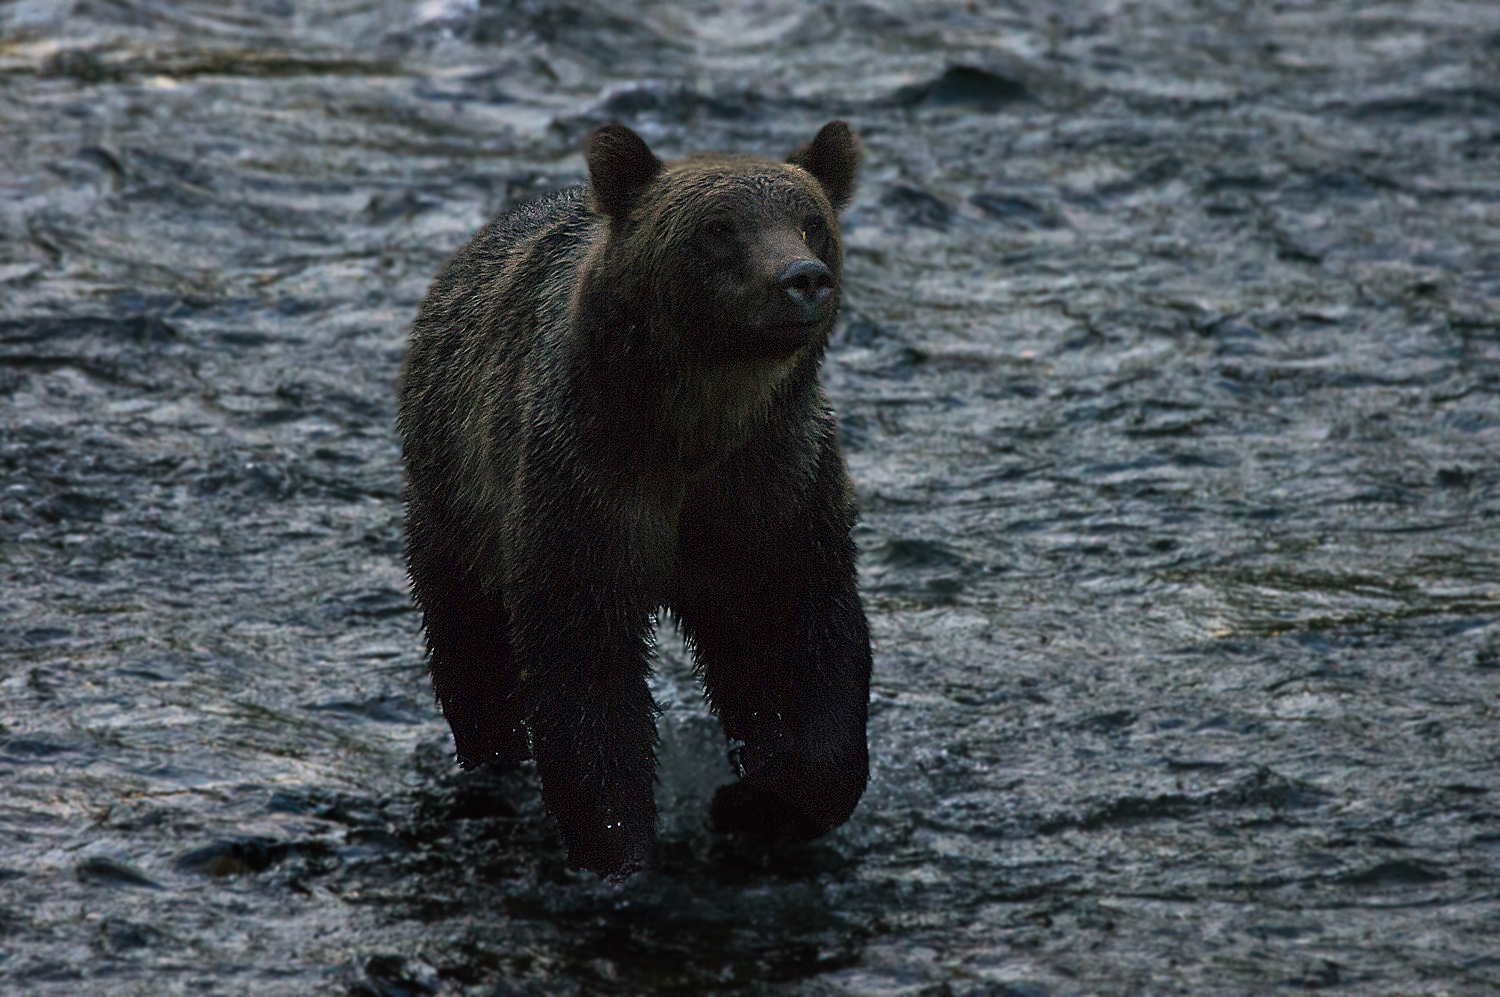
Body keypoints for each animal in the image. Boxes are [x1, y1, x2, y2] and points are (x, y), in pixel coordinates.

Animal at [399, 118, 876, 881]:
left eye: (811, 221)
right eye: (717, 228)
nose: (802, 279)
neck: (694, 432)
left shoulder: (771, 491)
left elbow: (804, 643)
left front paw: (759, 802)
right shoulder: (587, 490)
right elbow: (584, 675)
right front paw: (618, 847)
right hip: (454, 508)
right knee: (469, 645)